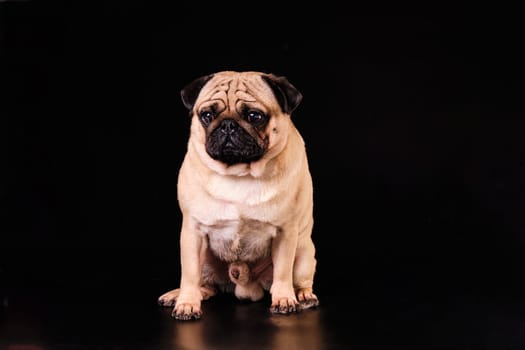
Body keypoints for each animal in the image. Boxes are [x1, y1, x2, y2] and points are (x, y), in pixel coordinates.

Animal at [158, 70, 318, 320]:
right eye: (207, 115)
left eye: (254, 116)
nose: (228, 125)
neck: (239, 174)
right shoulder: (193, 232)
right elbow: (190, 275)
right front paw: (187, 303)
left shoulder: (285, 232)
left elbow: (283, 272)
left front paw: (284, 299)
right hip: (203, 257)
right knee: (204, 283)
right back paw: (182, 294)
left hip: (304, 252)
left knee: (298, 277)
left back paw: (303, 295)